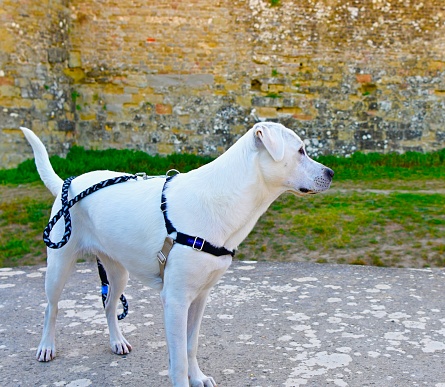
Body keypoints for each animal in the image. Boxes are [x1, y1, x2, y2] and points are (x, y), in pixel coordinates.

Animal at [21, 123, 332, 387]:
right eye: (301, 150)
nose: (330, 173)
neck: (225, 197)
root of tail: (70, 183)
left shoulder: (200, 297)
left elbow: (190, 345)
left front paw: (199, 377)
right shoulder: (175, 300)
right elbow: (179, 359)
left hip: (118, 272)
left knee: (109, 305)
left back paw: (117, 342)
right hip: (59, 265)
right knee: (51, 307)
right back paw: (47, 346)